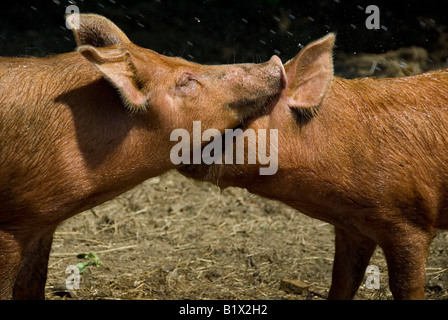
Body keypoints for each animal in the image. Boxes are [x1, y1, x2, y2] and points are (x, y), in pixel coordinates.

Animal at [0, 13, 286, 300]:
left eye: (183, 59)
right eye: (186, 80)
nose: (275, 62)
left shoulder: (43, 223)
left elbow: (32, 285)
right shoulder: (12, 226)